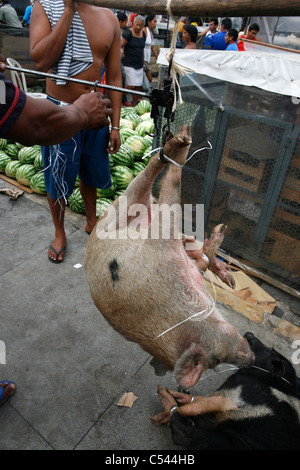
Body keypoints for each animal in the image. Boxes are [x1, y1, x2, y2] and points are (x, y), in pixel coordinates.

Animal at [85, 126, 255, 390]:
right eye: (216, 361)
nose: (252, 357)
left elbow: (201, 261)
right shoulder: (161, 250)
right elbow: (172, 198)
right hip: (124, 205)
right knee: (153, 173)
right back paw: (178, 143)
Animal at [152, 332, 300, 450]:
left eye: (270, 349)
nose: (250, 333)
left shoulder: (233, 394)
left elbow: (196, 406)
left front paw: (160, 417)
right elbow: (200, 399)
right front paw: (179, 394)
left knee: (183, 433)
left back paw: (163, 396)